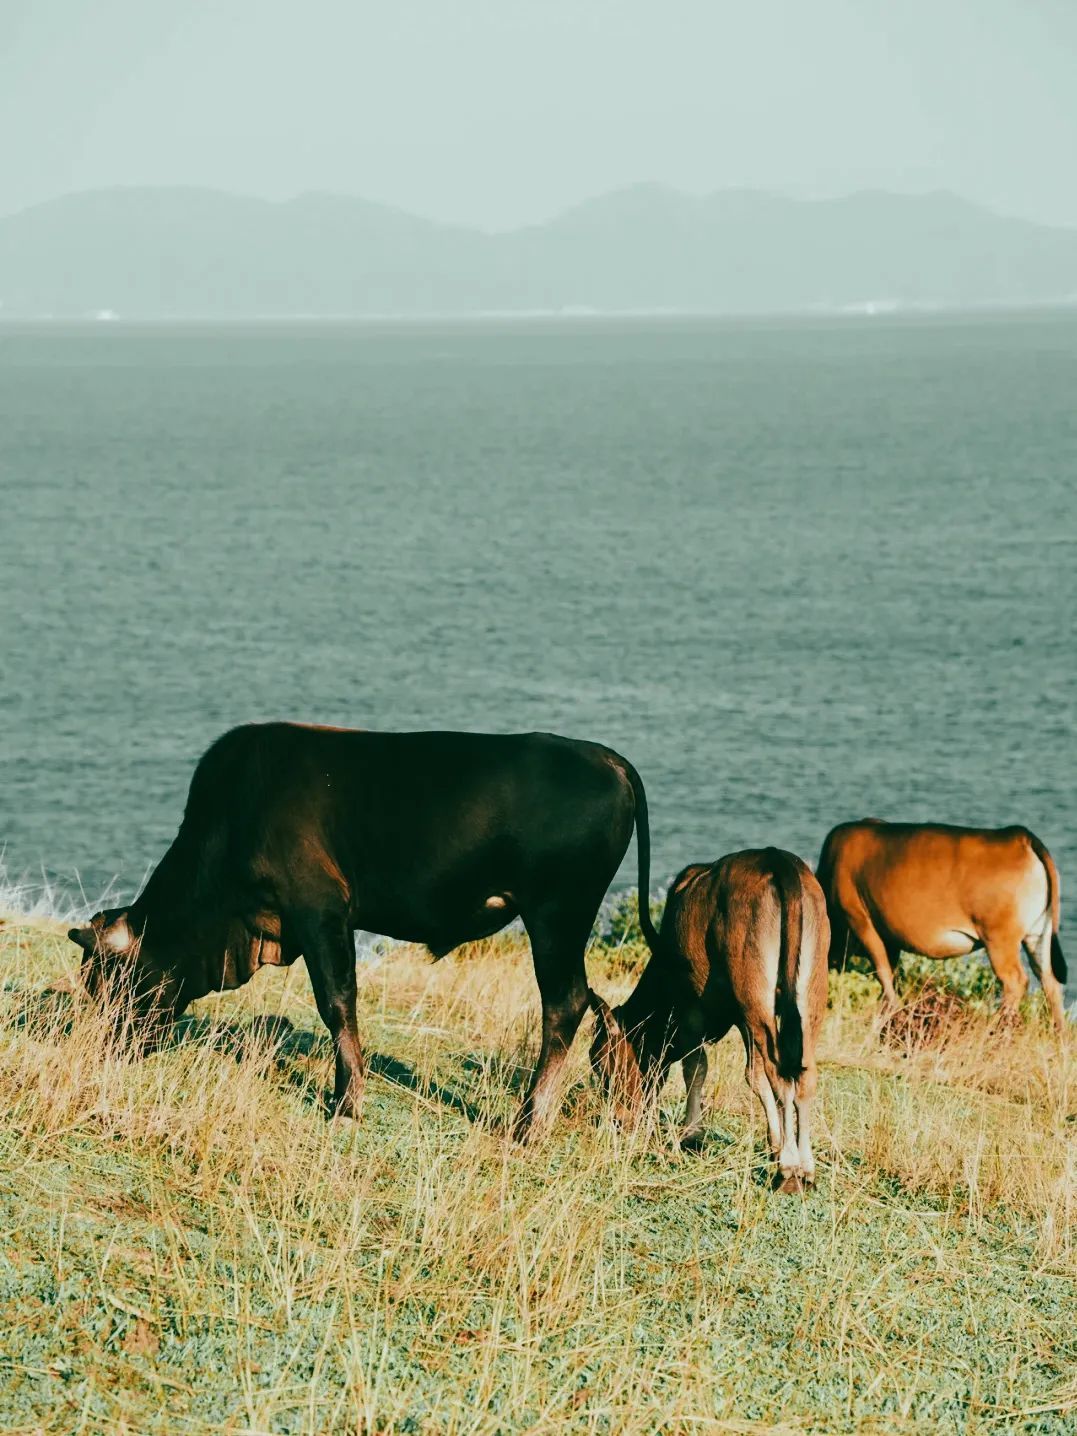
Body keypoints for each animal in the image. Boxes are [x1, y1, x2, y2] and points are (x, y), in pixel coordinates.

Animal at [71, 723, 657, 1137]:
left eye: (111, 982)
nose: (104, 1049)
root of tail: (605, 757)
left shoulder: (320, 910)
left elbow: (337, 1002)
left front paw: (347, 1102)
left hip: (558, 915)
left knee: (565, 1004)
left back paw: (528, 1123)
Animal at [594, 844, 832, 1194]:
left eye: (604, 1068)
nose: (618, 1121)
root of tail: (776, 859)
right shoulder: (742, 1019)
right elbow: (753, 1075)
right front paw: (774, 1143)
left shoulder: (691, 1008)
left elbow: (697, 1067)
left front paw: (691, 1133)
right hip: (808, 991)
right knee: (804, 1074)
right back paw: (807, 1166)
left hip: (754, 993)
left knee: (779, 1073)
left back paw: (789, 1169)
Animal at [821, 821, 1068, 1033]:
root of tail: (1018, 837)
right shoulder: (889, 936)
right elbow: (891, 973)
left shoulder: (860, 920)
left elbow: (883, 973)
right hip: (1037, 935)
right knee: (1049, 981)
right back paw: (1059, 1035)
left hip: (999, 939)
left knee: (1015, 981)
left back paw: (992, 1028)